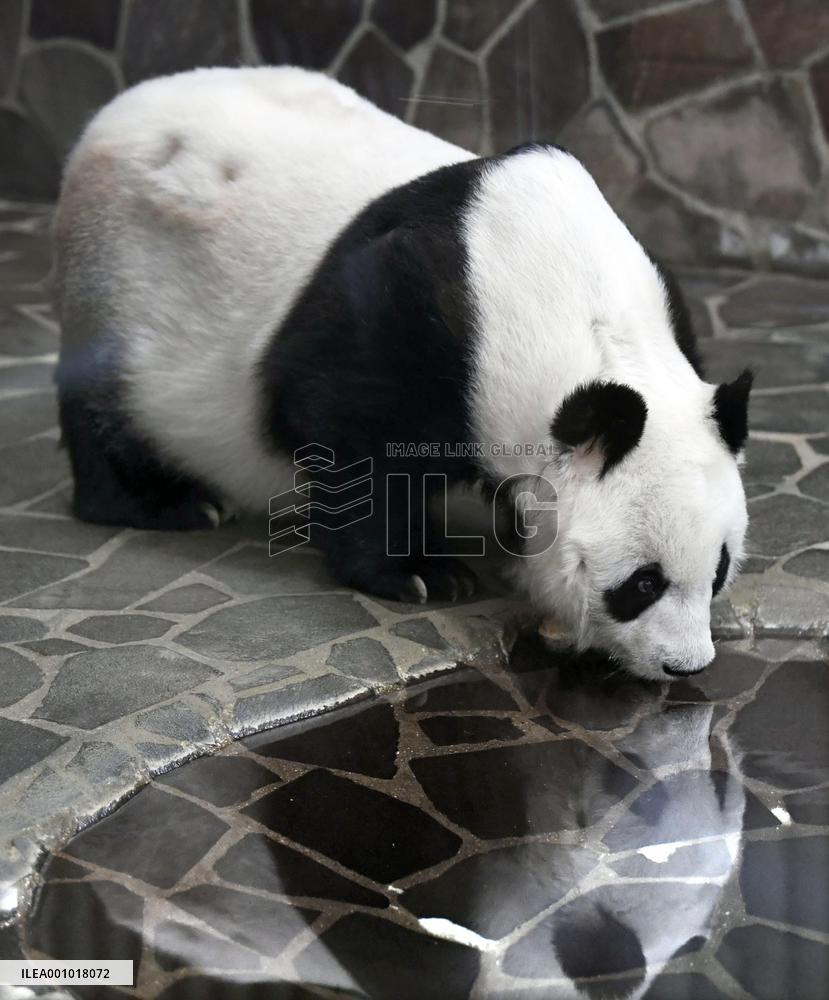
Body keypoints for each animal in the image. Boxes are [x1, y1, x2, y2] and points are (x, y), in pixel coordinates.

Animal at [53, 66, 751, 682]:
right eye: (643, 582)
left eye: (718, 570)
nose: (685, 666)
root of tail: (106, 120)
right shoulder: (411, 314)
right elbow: (341, 419)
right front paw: (421, 572)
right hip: (127, 280)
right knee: (108, 407)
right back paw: (167, 501)